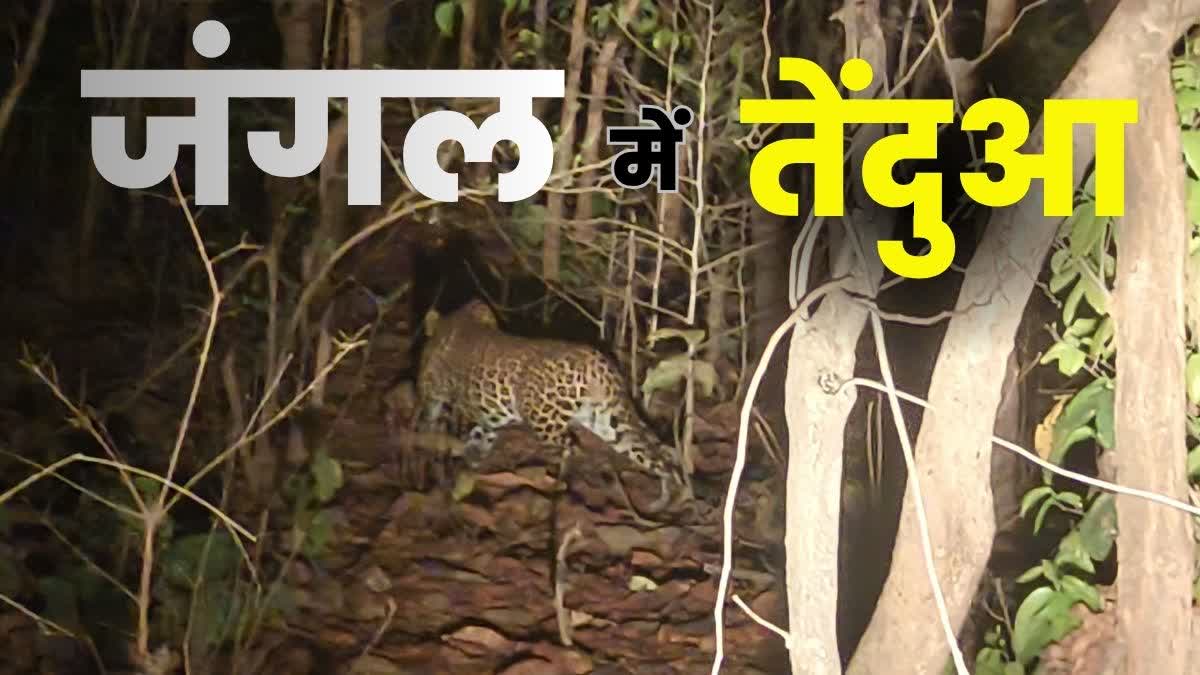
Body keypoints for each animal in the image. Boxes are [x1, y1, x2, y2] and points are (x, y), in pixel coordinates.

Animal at [415, 299, 689, 512]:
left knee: (571, 450)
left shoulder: (437, 398)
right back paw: (666, 500)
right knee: (654, 456)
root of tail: (595, 361)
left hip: (546, 422)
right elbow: (479, 437)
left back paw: (560, 492)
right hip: (607, 422)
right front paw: (471, 464)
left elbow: (436, 430)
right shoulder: (487, 417)